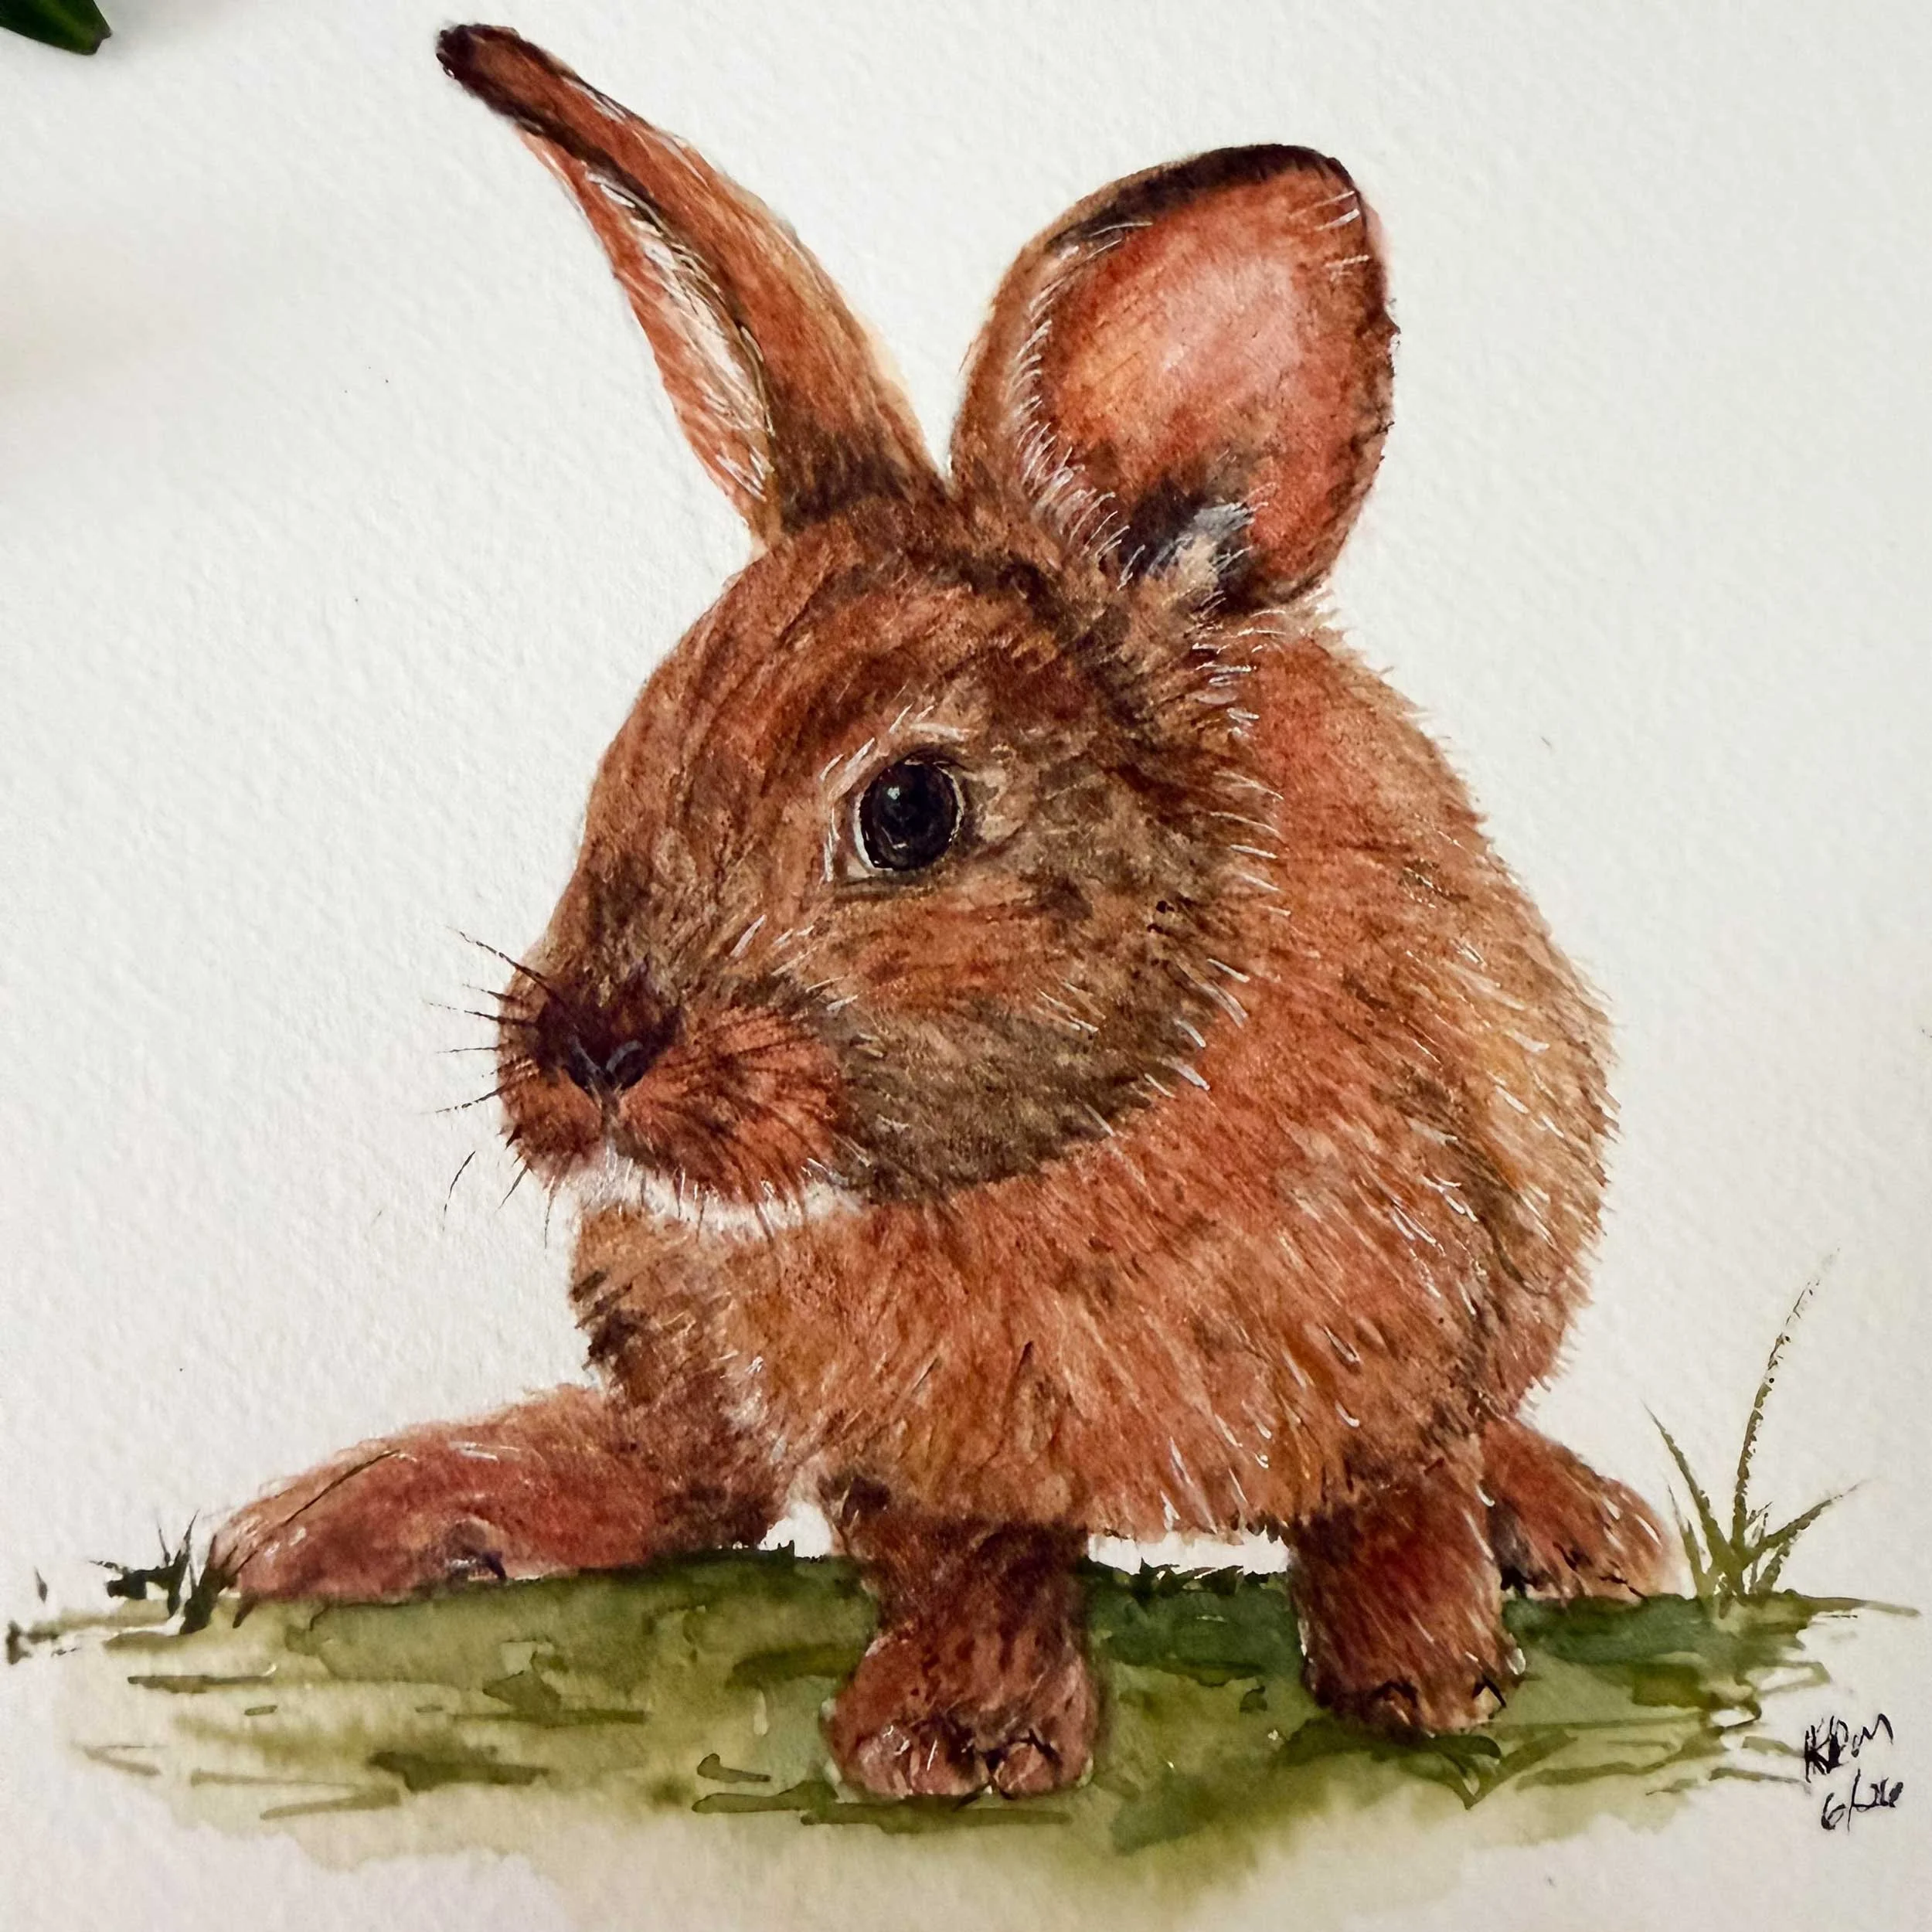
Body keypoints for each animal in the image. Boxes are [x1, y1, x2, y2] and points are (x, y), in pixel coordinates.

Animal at [211, 24, 1675, 1799]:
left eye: (907, 810)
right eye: (635, 743)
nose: (589, 1049)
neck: (1061, 1148)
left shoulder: (1429, 1310)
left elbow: (1389, 1496)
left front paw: (1426, 1673)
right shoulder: (903, 1456)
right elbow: (967, 1547)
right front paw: (957, 1732)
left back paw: (1580, 1524)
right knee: (691, 1472)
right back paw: (380, 1519)